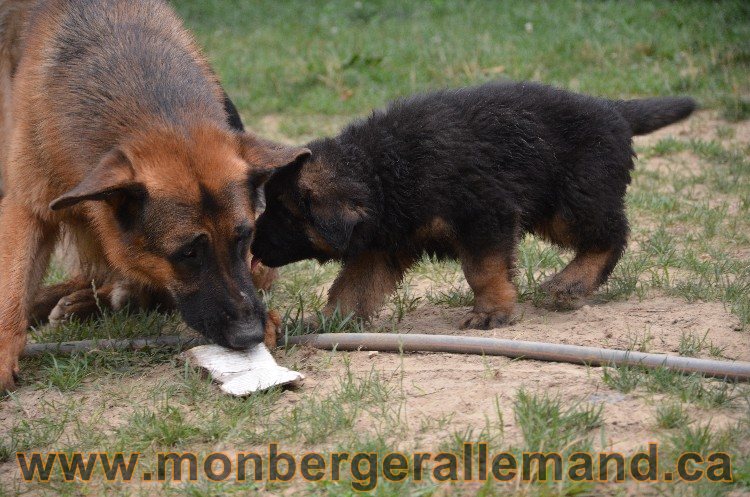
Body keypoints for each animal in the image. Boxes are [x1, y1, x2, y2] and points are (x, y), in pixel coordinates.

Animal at [254, 81, 700, 328]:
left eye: (284, 213)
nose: (252, 247)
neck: (382, 170)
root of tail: (614, 109)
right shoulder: (383, 244)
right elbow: (351, 288)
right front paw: (328, 322)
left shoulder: (486, 214)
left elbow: (482, 271)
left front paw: (491, 312)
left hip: (571, 201)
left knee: (612, 235)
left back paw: (571, 282)